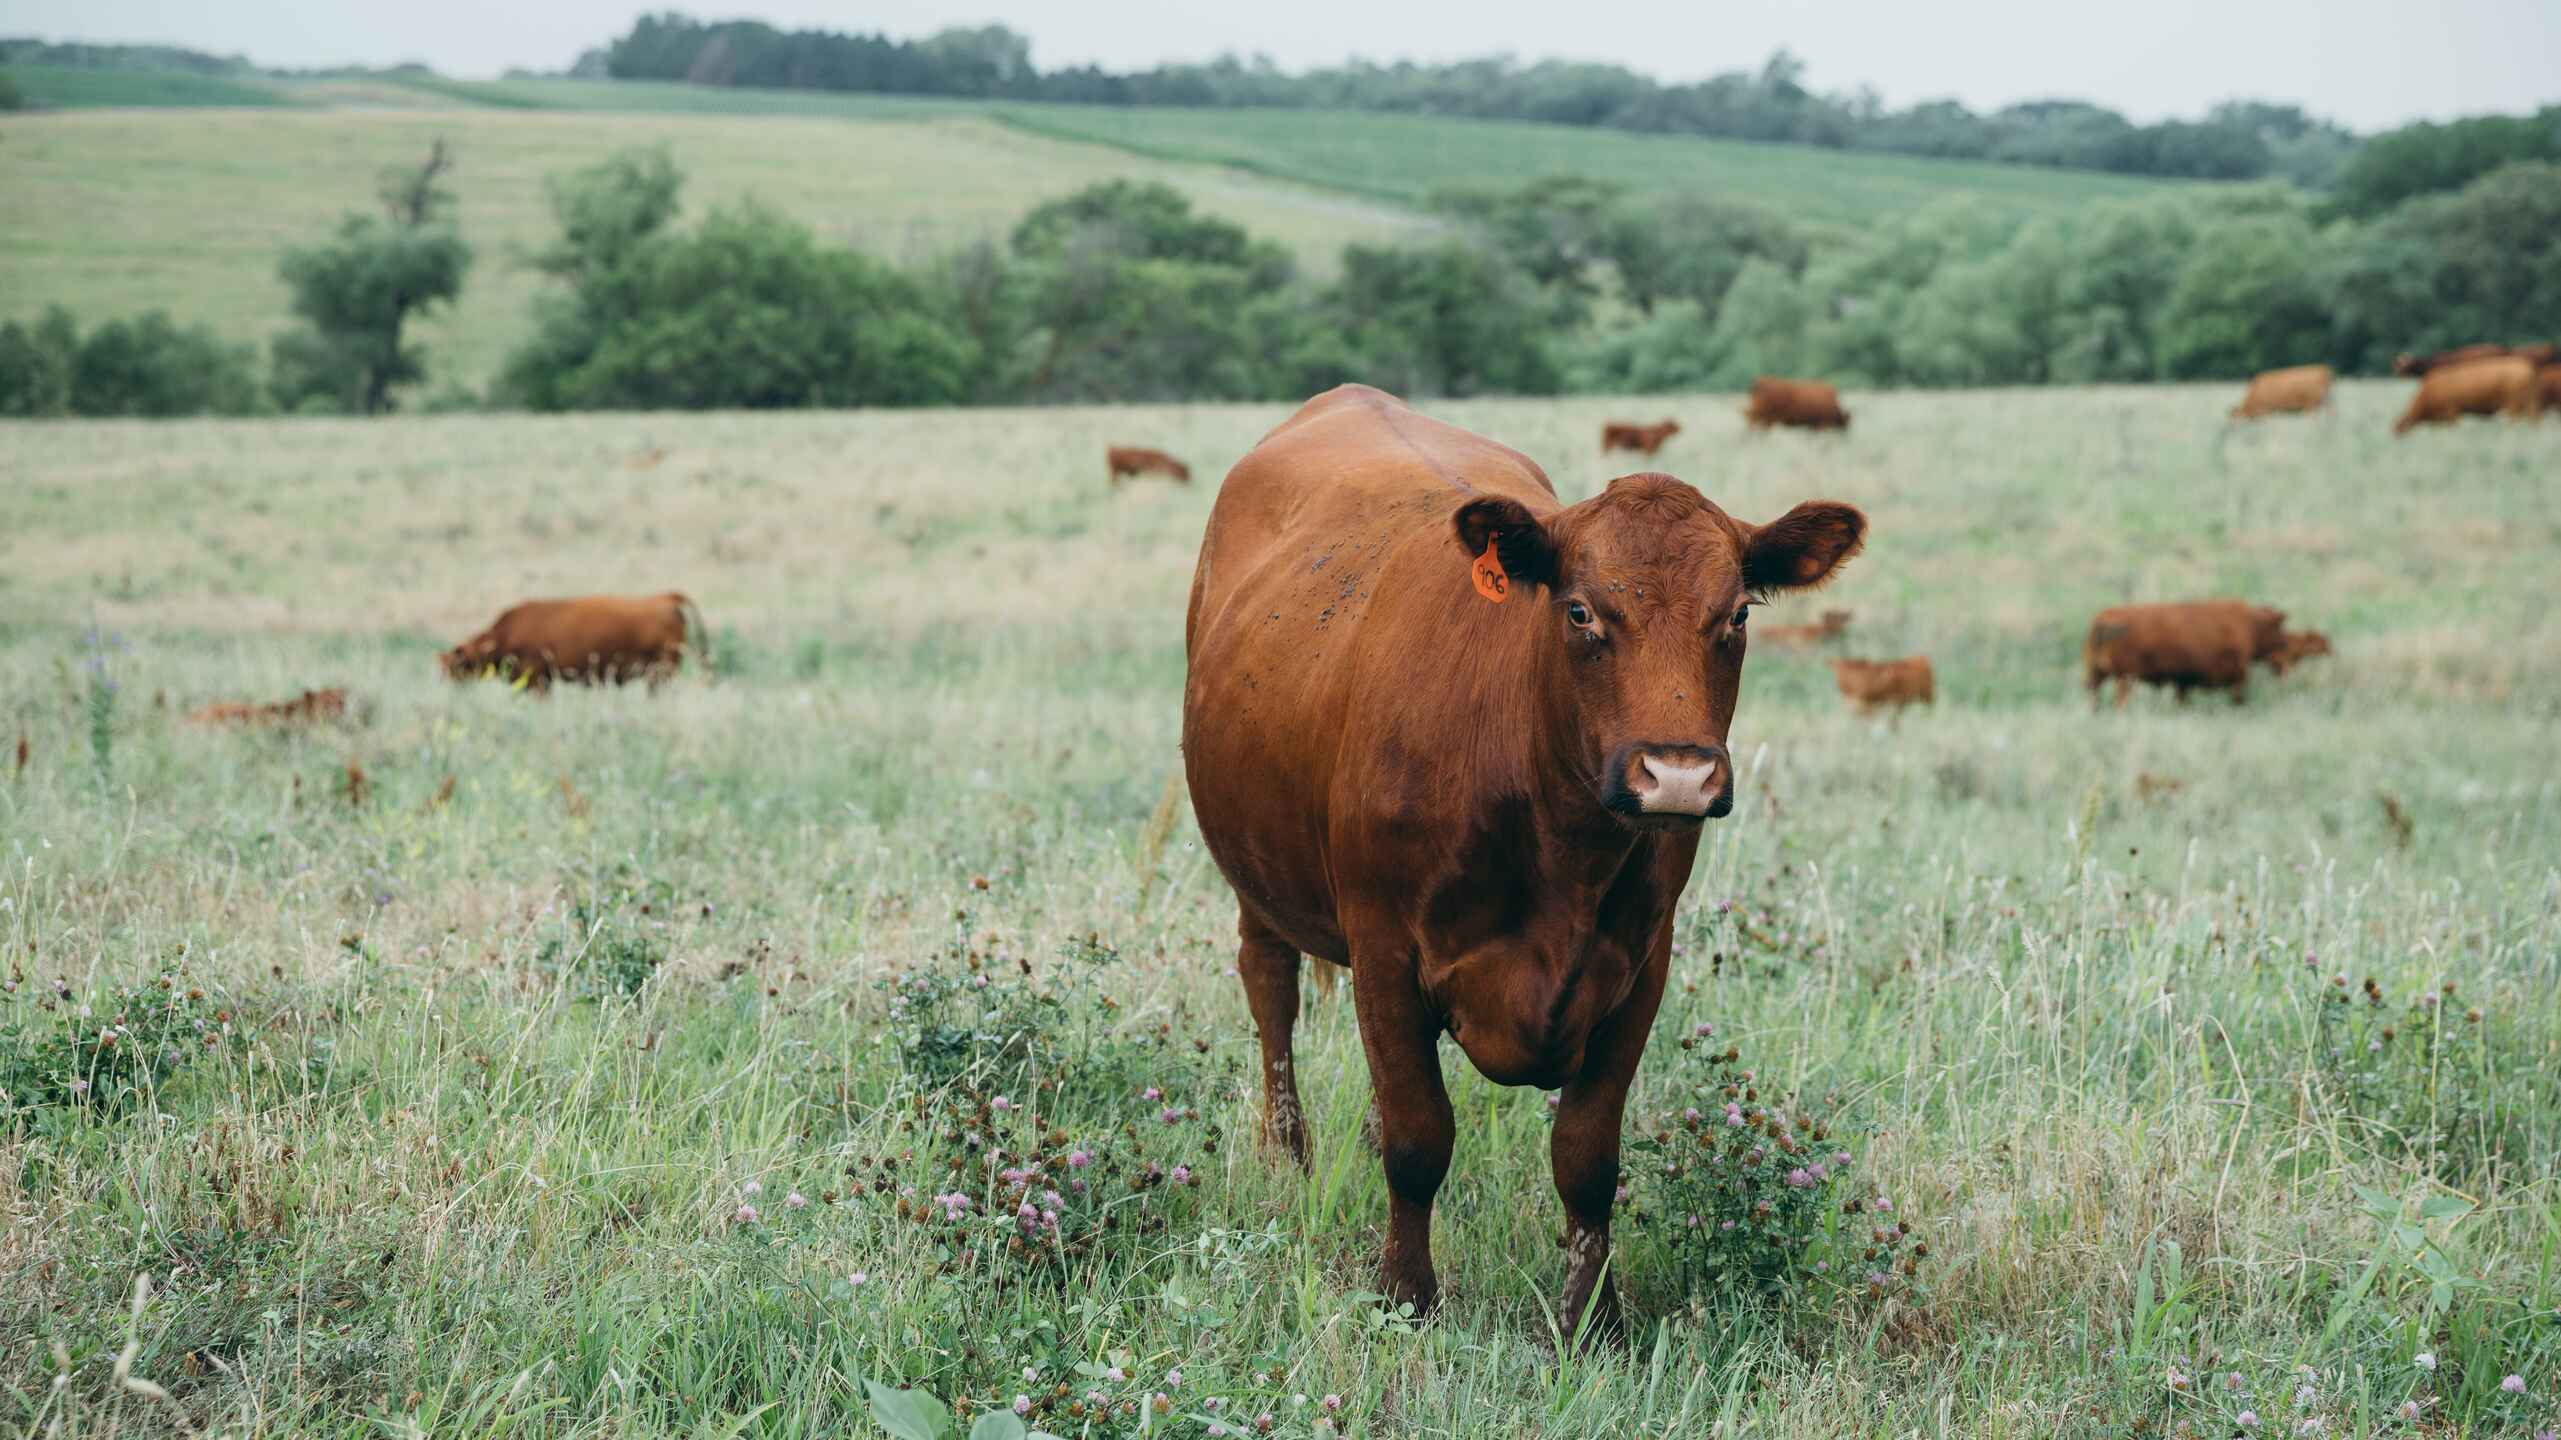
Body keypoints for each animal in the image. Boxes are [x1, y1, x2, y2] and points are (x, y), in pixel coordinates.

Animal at [440, 592, 708, 690]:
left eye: (455, 668)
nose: (451, 689)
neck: (505, 634)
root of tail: (666, 598)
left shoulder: (537, 680)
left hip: (660, 672)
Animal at [1182, 384, 1865, 1340]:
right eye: (1579, 611)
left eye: (1735, 615)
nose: (1676, 776)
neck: (1559, 849)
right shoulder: (1384, 948)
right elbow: (1419, 1138)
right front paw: (1405, 1295)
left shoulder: (1641, 965)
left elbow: (1585, 1155)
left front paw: (1592, 1317)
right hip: (1256, 875)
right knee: (1270, 990)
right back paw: (1287, 1154)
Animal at [2393, 356, 2542, 434]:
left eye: (2399, 431)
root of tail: (2525, 367)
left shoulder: (2451, 413)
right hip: (2529, 403)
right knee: (2532, 419)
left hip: (2513, 404)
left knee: (2514, 420)